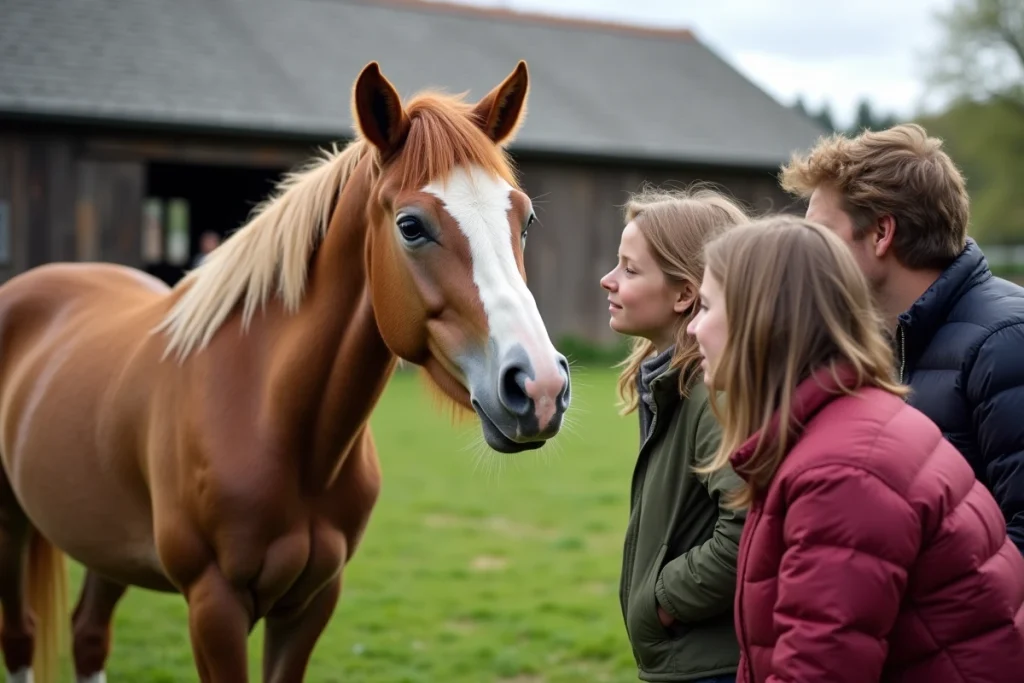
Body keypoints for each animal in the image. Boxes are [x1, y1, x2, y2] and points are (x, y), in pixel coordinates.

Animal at [0, 60, 571, 683]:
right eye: (411, 226)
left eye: (525, 218)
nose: (540, 386)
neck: (269, 418)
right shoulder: (213, 607)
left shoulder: (310, 603)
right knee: (22, 636)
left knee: (88, 635)